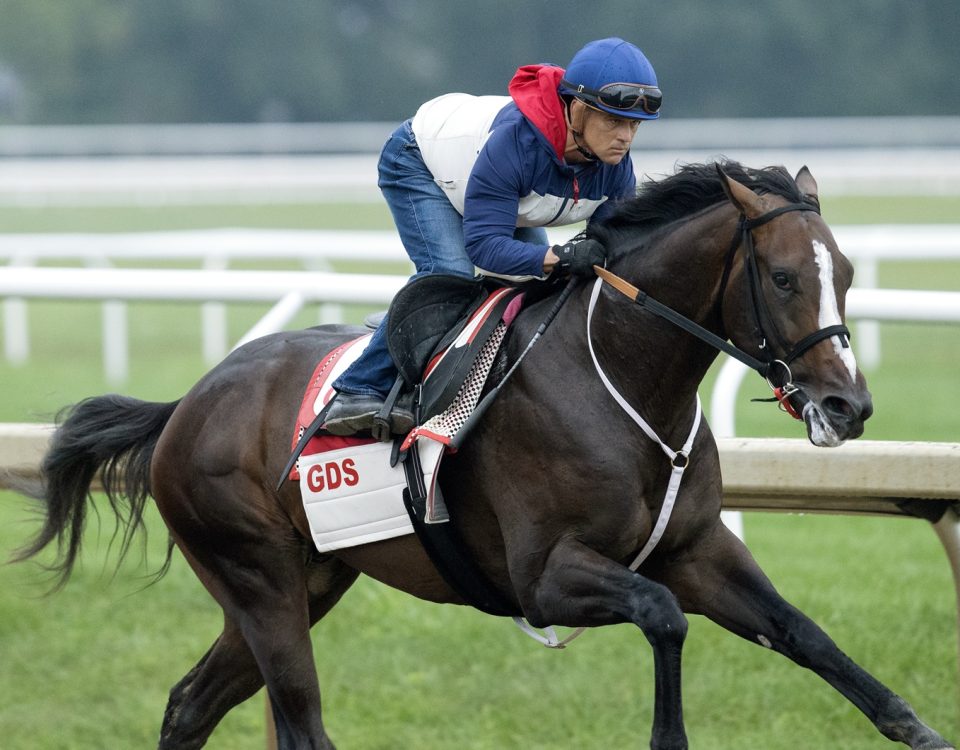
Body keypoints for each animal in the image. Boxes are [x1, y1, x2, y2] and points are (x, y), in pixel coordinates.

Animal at [13, 162, 952, 748]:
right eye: (786, 279)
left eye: (849, 274)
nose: (849, 406)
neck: (623, 377)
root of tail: (185, 405)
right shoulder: (546, 576)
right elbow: (663, 617)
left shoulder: (697, 548)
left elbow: (805, 635)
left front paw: (921, 729)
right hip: (258, 577)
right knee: (302, 723)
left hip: (304, 582)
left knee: (187, 706)